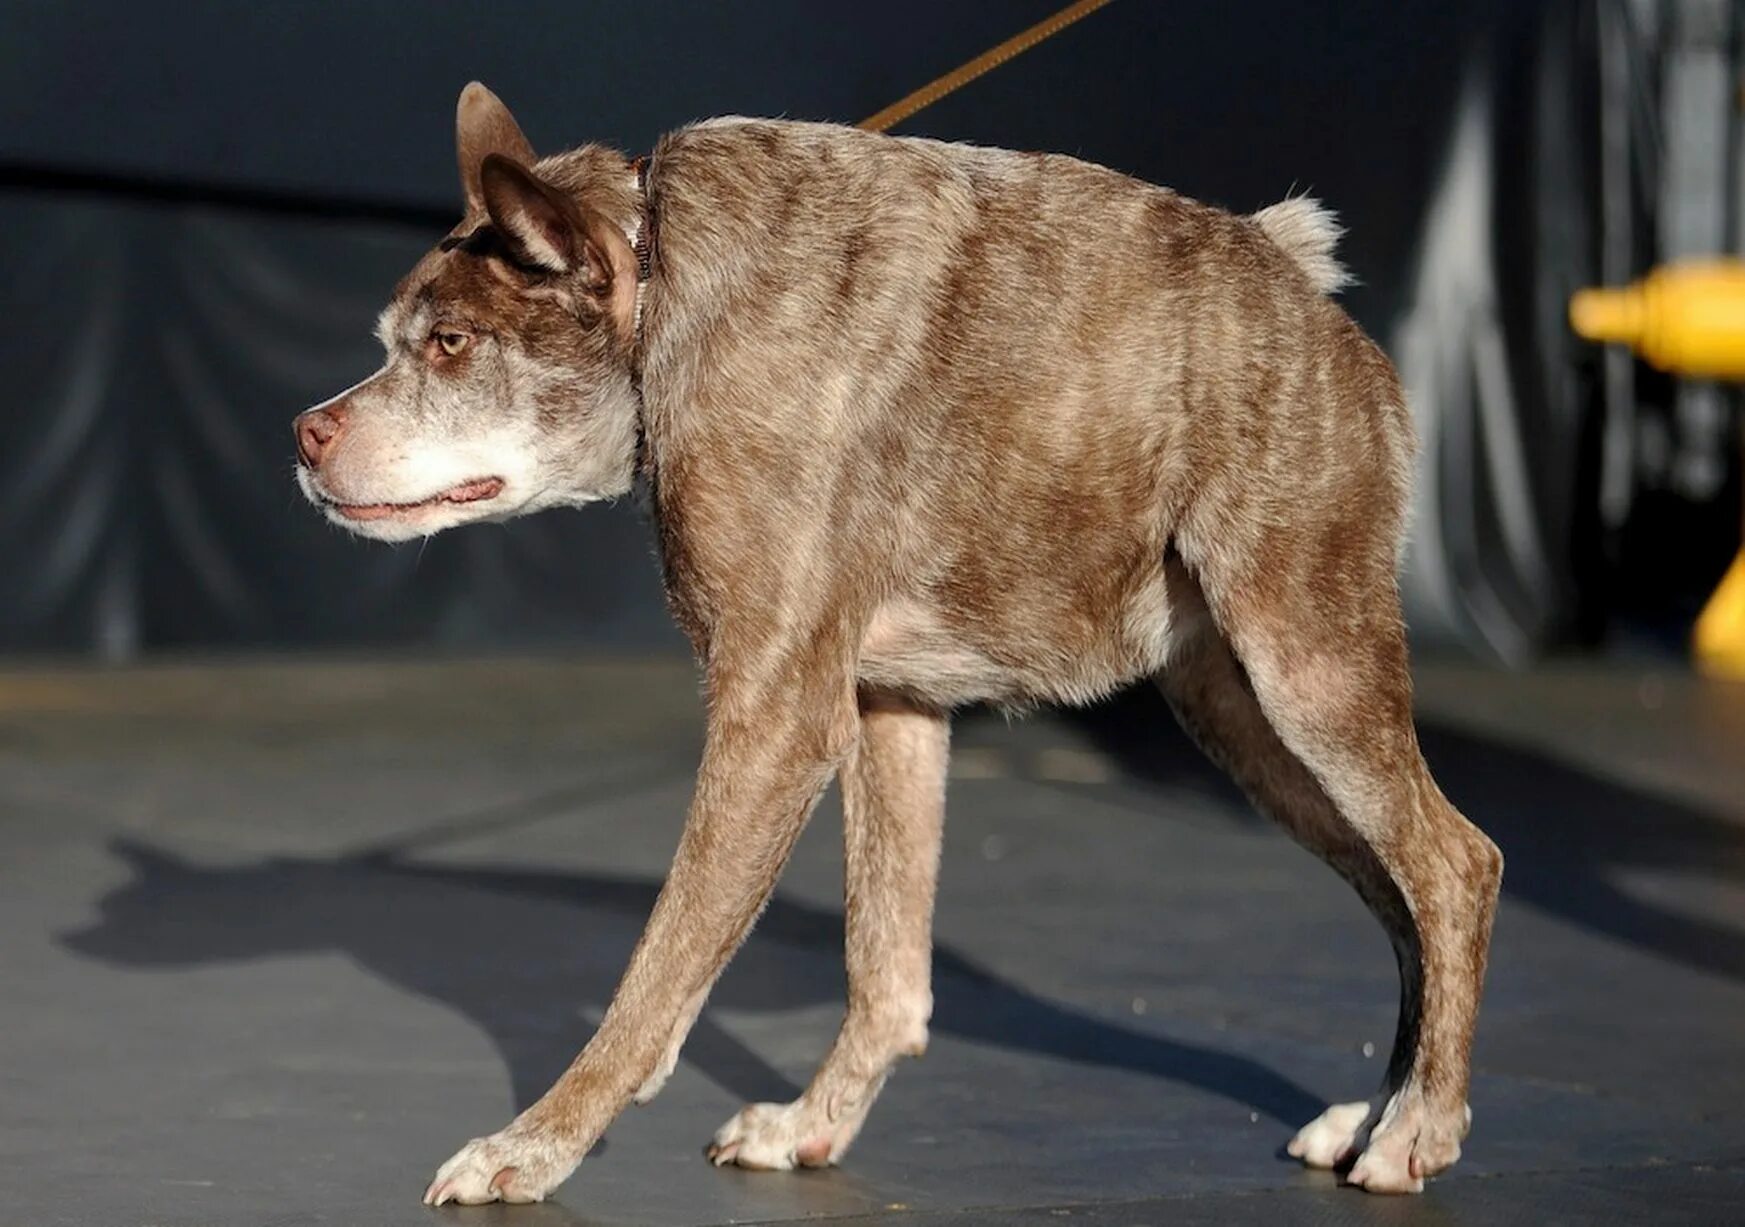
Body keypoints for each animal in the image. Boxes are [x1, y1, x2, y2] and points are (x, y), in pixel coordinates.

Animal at [289, 81, 1500, 1207]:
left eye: (451, 346)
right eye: (390, 346)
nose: (304, 433)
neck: (662, 285)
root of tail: (1308, 294)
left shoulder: (774, 718)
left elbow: (655, 976)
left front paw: (536, 1145)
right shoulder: (887, 708)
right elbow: (886, 974)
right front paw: (811, 1124)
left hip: (1306, 672)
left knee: (1454, 868)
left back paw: (1417, 1129)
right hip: (1243, 721)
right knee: (1402, 894)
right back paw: (1378, 1110)